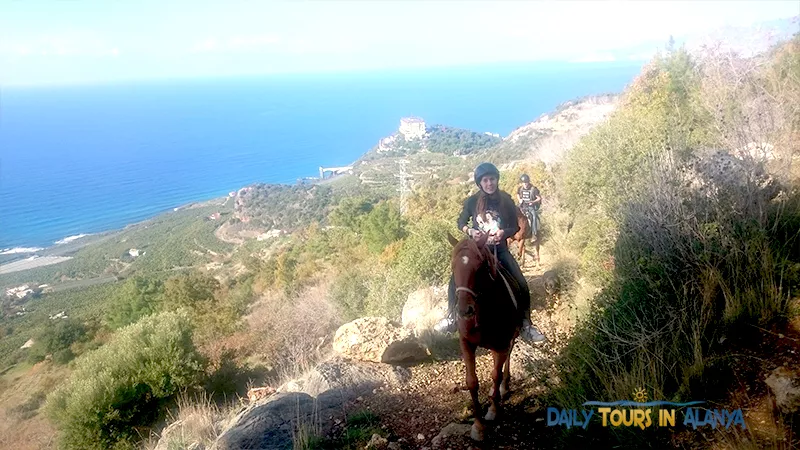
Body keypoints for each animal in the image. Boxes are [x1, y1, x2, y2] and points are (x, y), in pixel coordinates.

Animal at [446, 230, 520, 442]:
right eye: (453, 267)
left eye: (479, 267)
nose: (465, 311)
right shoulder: (466, 344)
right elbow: (472, 382)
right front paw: (478, 427)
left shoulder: (501, 343)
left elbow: (495, 374)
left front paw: (493, 410)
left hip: (511, 336)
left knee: (507, 357)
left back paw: (504, 387)